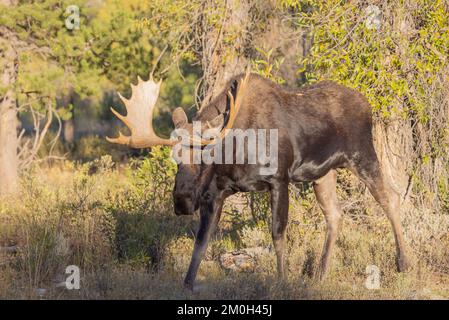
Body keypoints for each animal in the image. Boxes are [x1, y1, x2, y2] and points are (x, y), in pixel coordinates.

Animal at [107, 72, 410, 290]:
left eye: (205, 157)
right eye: (175, 158)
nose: (181, 202)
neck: (235, 152)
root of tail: (368, 105)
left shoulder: (279, 180)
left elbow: (277, 233)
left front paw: (282, 279)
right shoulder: (215, 194)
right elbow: (201, 241)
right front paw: (187, 284)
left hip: (362, 155)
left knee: (391, 199)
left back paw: (403, 263)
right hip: (324, 174)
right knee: (335, 214)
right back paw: (320, 274)